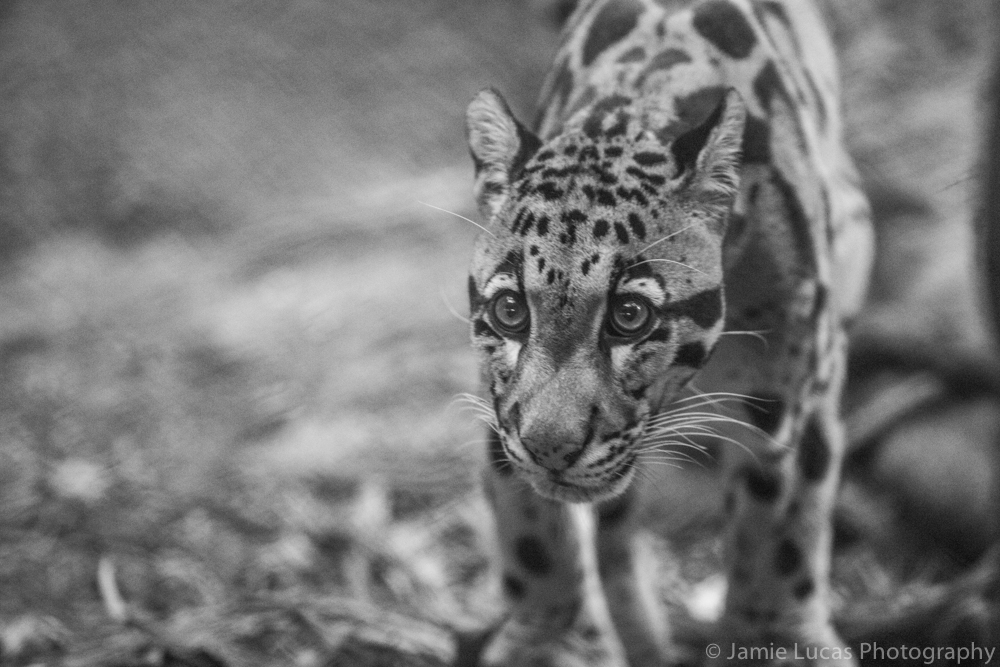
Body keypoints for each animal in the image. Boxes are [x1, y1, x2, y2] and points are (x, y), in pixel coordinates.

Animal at [463, 0, 873, 665]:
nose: (551, 449)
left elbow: (781, 532)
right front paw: (549, 639)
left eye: (630, 316)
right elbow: (535, 533)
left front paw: (778, 636)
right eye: (510, 311)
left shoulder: (784, 400)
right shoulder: (501, 405)